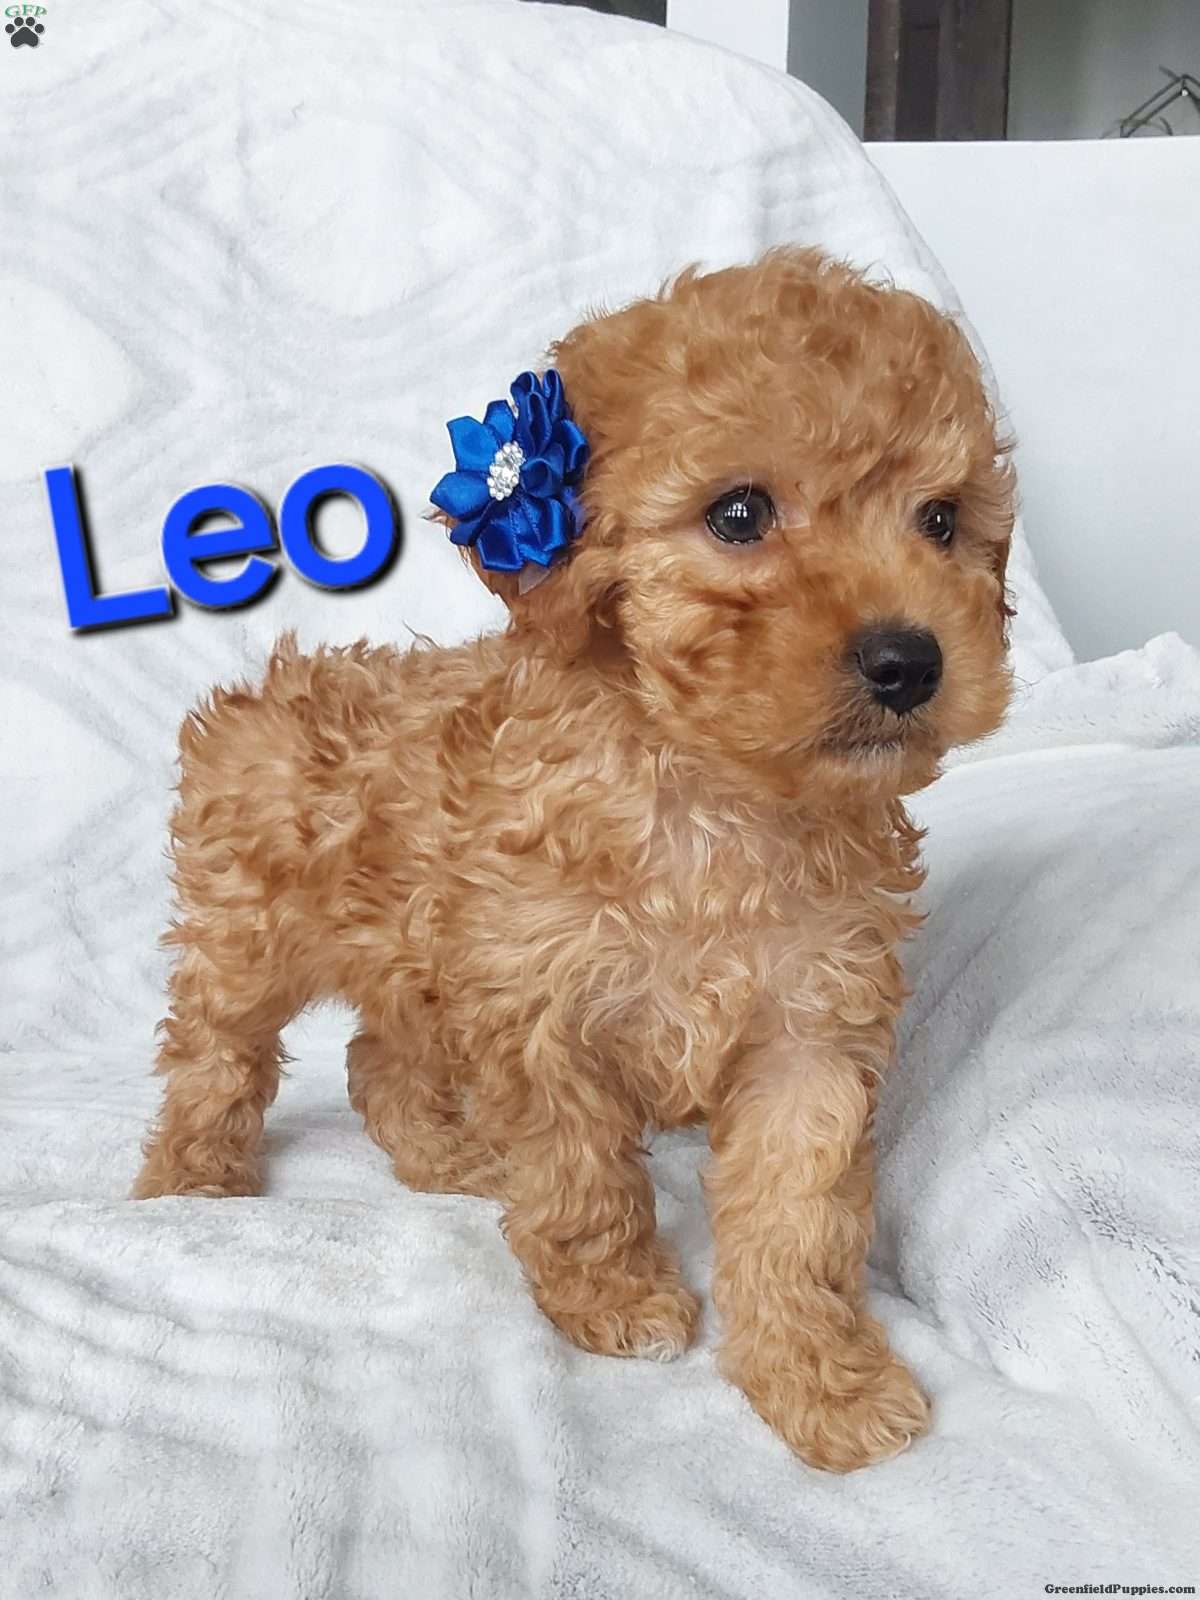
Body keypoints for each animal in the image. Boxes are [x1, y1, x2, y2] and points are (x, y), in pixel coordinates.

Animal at [134, 248, 1014, 1472]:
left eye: (940, 520)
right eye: (739, 514)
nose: (908, 659)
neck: (714, 803)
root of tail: (266, 685)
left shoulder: (811, 1035)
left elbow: (797, 1219)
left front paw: (819, 1377)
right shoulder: (539, 1016)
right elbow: (582, 1177)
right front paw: (617, 1299)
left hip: (412, 964)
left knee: (376, 1059)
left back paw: (449, 1159)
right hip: (246, 936)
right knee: (218, 1057)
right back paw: (189, 1183)